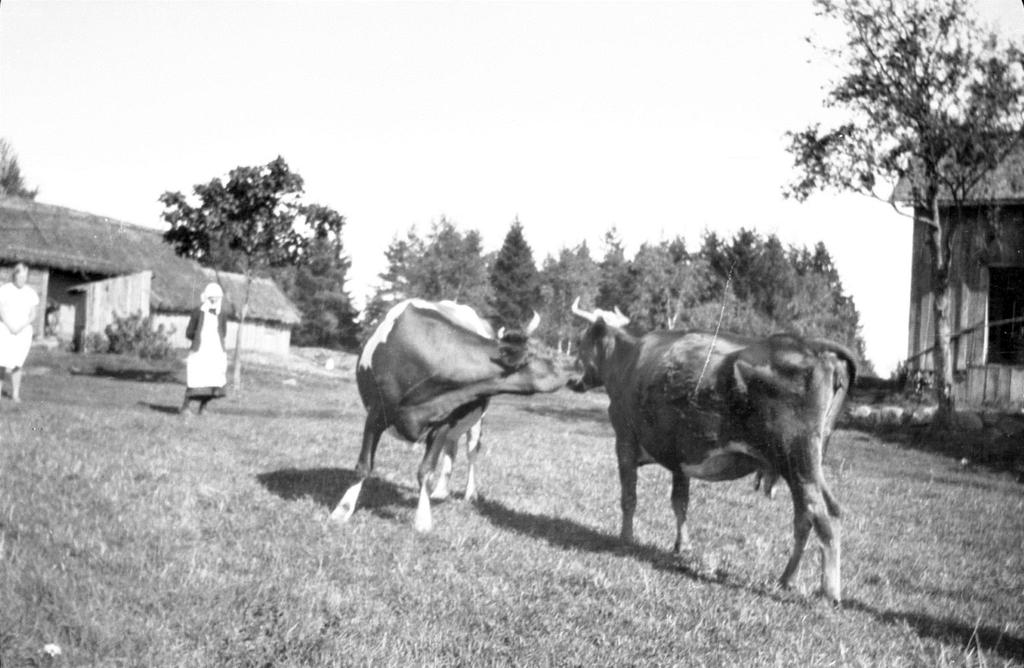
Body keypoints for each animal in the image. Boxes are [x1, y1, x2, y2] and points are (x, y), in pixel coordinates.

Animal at [331, 299, 565, 528]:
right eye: (544, 355)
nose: (572, 368)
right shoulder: (376, 413)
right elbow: (363, 465)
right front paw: (342, 510)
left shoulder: (442, 423)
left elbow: (426, 471)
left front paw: (423, 520)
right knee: (452, 448)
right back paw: (442, 491)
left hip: (476, 421)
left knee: (471, 451)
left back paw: (469, 493)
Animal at [569, 299, 856, 602]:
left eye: (582, 340)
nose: (574, 375)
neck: (628, 359)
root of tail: (810, 345)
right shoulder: (679, 455)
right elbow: (680, 502)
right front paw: (681, 546)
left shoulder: (624, 440)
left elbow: (629, 497)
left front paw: (626, 538)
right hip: (806, 464)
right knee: (813, 515)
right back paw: (786, 578)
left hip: (797, 459)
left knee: (820, 515)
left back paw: (829, 592)